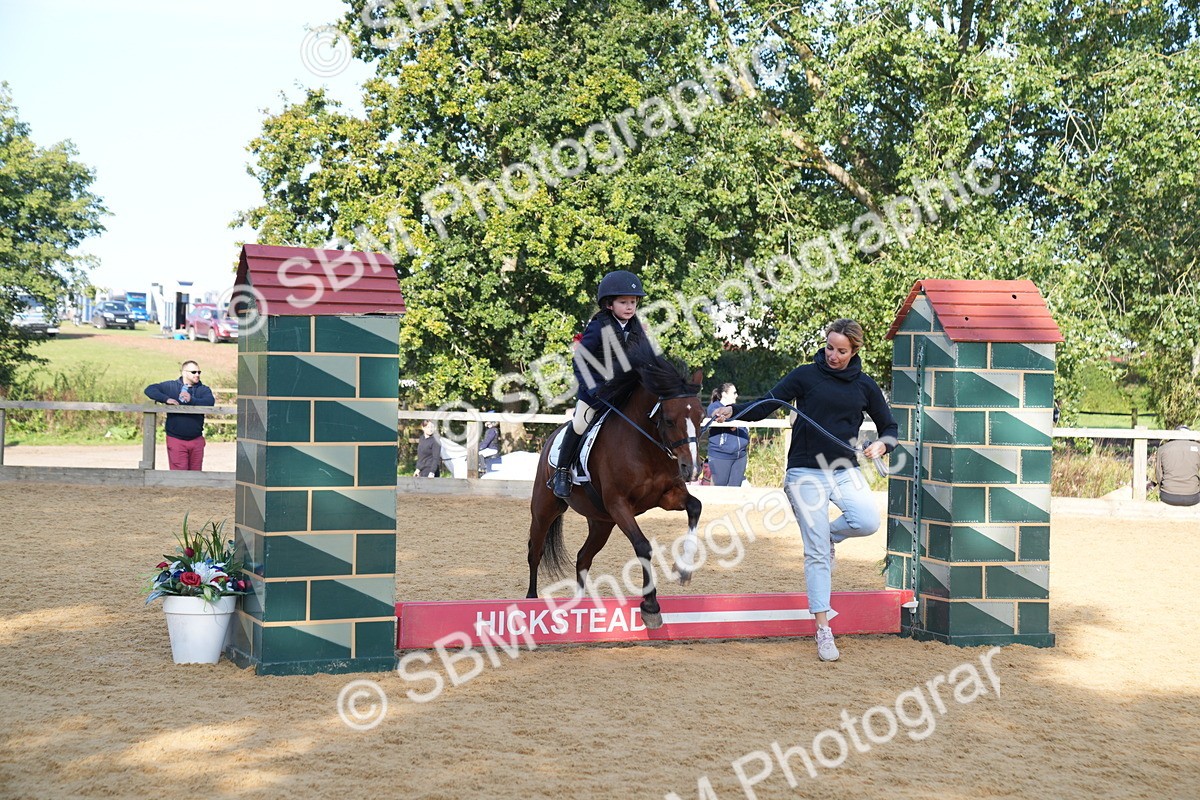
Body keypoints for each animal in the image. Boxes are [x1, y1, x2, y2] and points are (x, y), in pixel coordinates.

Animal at [526, 355, 705, 629]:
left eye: (701, 417)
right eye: (669, 420)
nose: (692, 468)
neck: (645, 444)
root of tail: (552, 436)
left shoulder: (666, 497)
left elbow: (695, 506)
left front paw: (684, 569)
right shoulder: (619, 504)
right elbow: (643, 546)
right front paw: (650, 606)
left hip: (602, 523)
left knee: (583, 557)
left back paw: (579, 605)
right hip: (545, 509)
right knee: (535, 551)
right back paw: (530, 601)